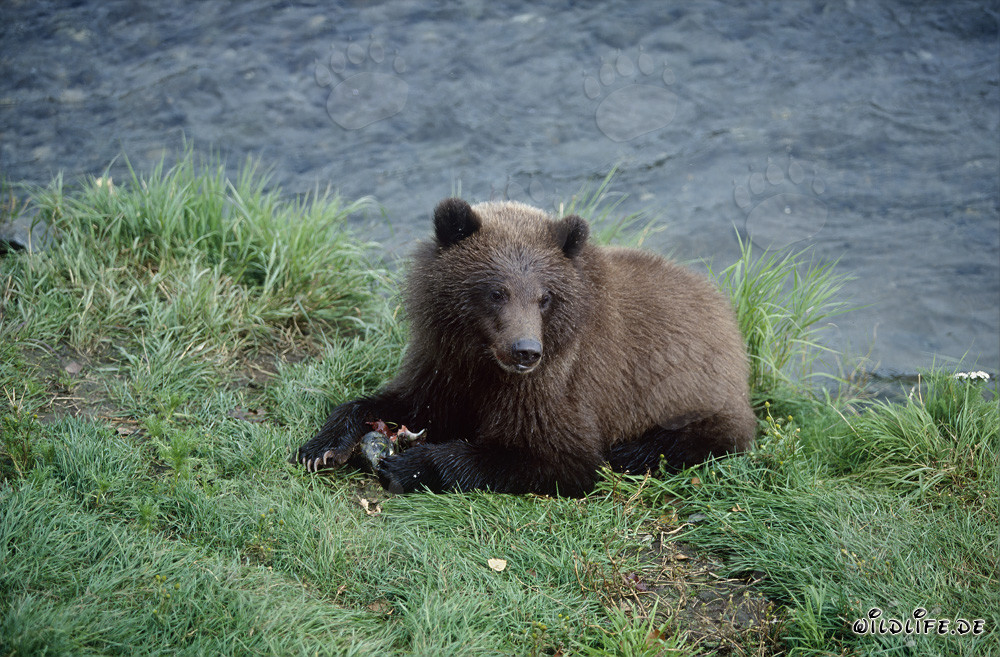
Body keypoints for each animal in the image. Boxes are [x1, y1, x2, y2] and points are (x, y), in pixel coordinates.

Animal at [294, 198, 756, 496]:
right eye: (497, 291)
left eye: (544, 296)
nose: (525, 350)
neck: (484, 358)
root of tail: (726, 313)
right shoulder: (445, 363)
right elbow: (406, 401)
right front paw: (321, 447)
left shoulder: (558, 382)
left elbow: (551, 456)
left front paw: (409, 464)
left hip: (696, 397)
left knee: (687, 440)